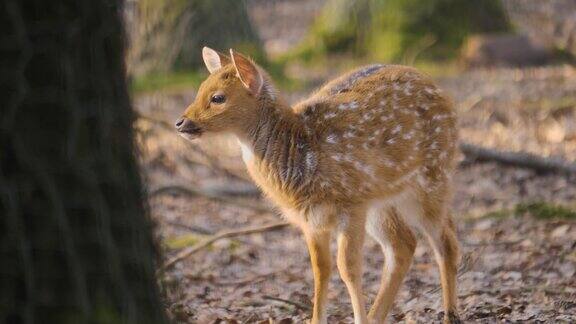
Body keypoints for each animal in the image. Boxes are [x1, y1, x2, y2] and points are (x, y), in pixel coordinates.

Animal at [176, 47, 460, 324]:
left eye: (218, 97)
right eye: (200, 88)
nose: (181, 123)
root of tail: (441, 92)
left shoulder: (352, 203)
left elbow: (348, 267)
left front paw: (358, 318)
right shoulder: (312, 219)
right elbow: (320, 270)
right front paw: (319, 319)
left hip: (432, 176)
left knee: (446, 242)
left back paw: (449, 315)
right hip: (383, 200)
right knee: (403, 244)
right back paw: (378, 315)